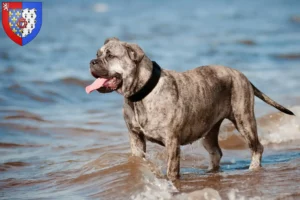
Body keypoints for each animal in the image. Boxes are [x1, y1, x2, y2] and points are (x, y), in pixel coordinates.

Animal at [85, 36, 294, 180]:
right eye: (97, 54)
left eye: (110, 55)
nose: (91, 61)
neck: (140, 95)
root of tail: (241, 75)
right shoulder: (136, 138)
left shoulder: (171, 142)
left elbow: (171, 170)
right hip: (209, 131)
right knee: (215, 152)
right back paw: (211, 172)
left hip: (244, 120)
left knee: (257, 147)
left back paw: (253, 169)